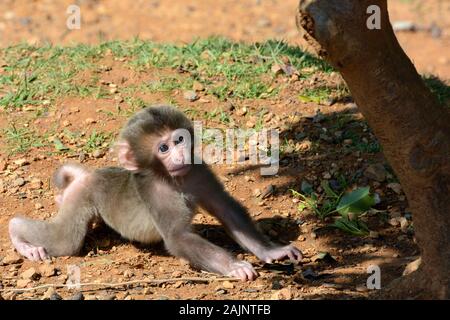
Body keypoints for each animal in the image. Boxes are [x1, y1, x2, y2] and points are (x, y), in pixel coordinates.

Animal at [7, 105, 302, 280]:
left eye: (179, 139)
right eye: (163, 148)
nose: (181, 154)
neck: (173, 179)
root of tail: (89, 175)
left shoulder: (198, 171)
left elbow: (227, 211)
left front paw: (272, 252)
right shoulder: (154, 190)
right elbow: (177, 237)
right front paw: (234, 266)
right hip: (81, 197)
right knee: (64, 241)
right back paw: (19, 235)